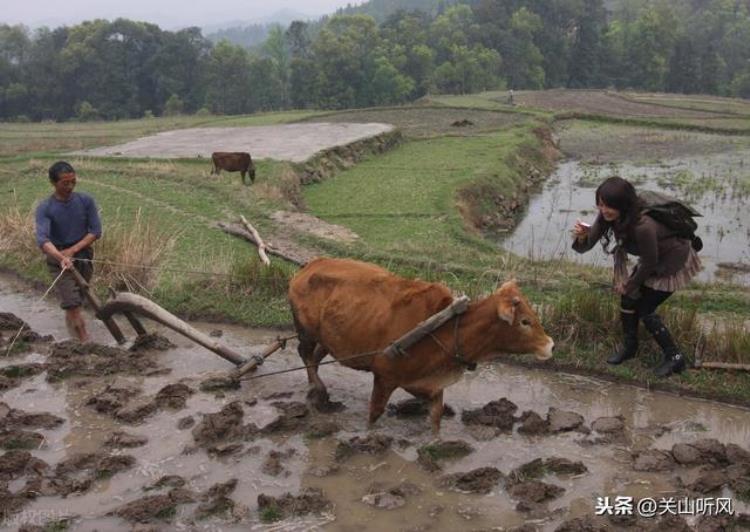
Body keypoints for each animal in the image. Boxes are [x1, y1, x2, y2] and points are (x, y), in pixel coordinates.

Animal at [290, 258, 556, 432]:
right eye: (525, 321)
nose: (550, 345)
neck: (444, 330)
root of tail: (310, 265)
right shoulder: (384, 377)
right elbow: (374, 415)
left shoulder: (429, 385)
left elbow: (436, 417)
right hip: (306, 332)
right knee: (305, 355)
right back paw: (318, 391)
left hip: (328, 339)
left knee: (315, 358)